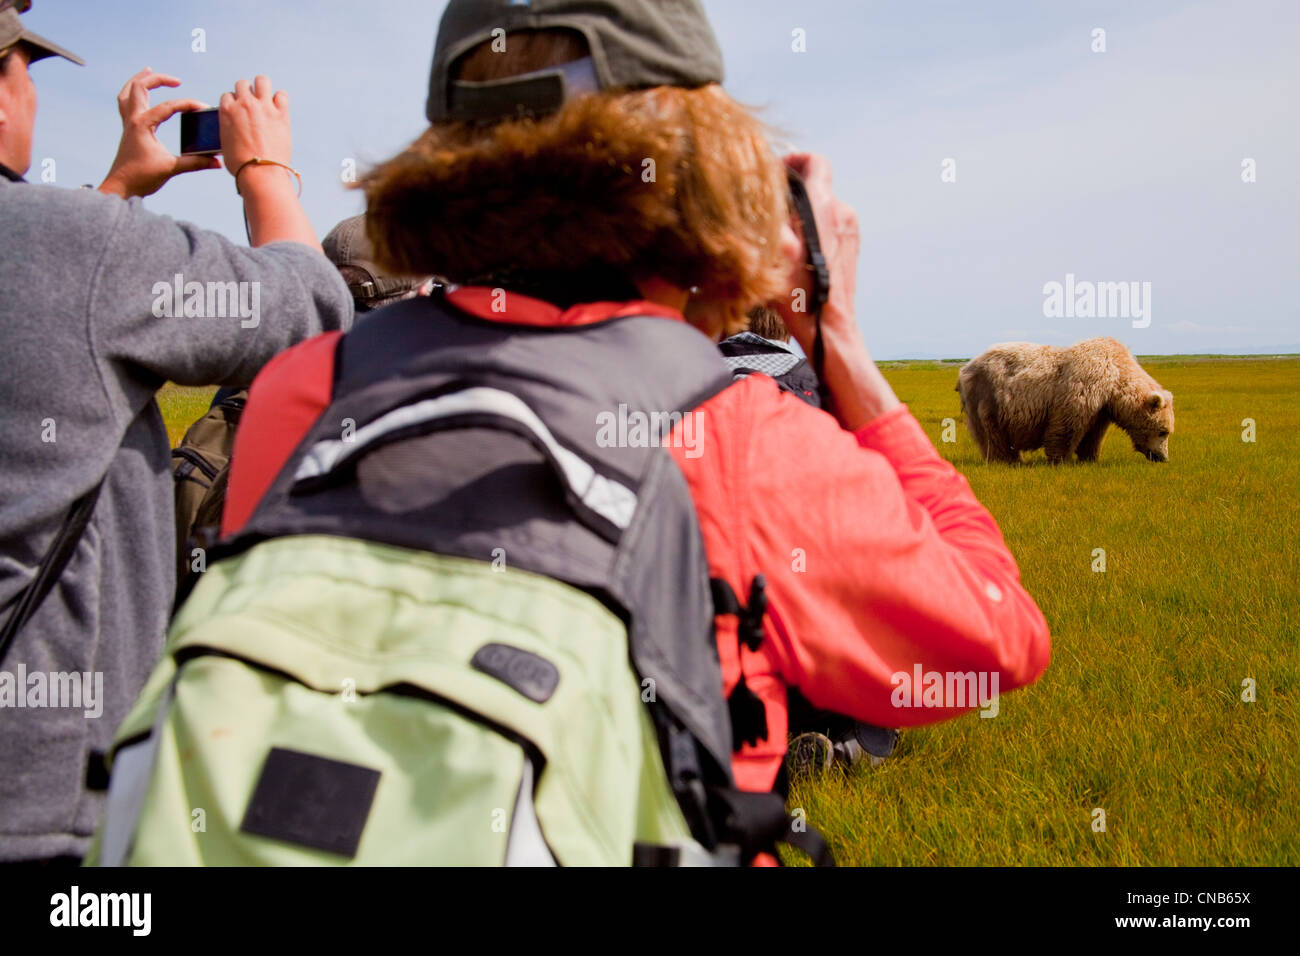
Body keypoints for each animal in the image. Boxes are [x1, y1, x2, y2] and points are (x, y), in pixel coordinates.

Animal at [956, 338, 1180, 465]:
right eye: (1163, 432)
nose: (1163, 458)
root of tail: (966, 367)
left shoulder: (1101, 409)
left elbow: (1093, 434)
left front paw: (1089, 458)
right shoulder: (1084, 387)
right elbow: (1066, 426)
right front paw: (1061, 460)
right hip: (989, 396)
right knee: (992, 435)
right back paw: (1006, 460)